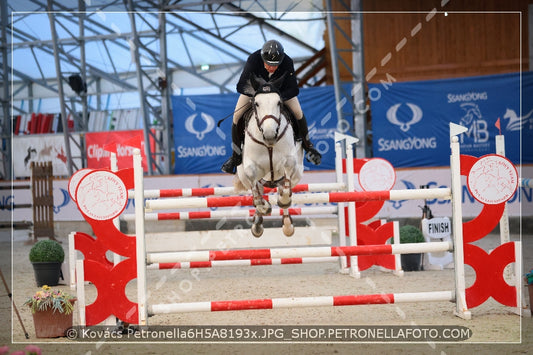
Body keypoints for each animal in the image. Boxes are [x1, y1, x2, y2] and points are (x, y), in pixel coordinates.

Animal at [233, 73, 304, 238]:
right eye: (256, 103)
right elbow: (257, 195)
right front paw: (264, 207)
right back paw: (257, 224)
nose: (270, 135)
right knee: (258, 191)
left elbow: (285, 191)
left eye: (279, 102)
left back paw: (287, 225)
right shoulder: (250, 167)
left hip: (296, 174)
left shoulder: (289, 162)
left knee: (284, 188)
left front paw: (283, 201)